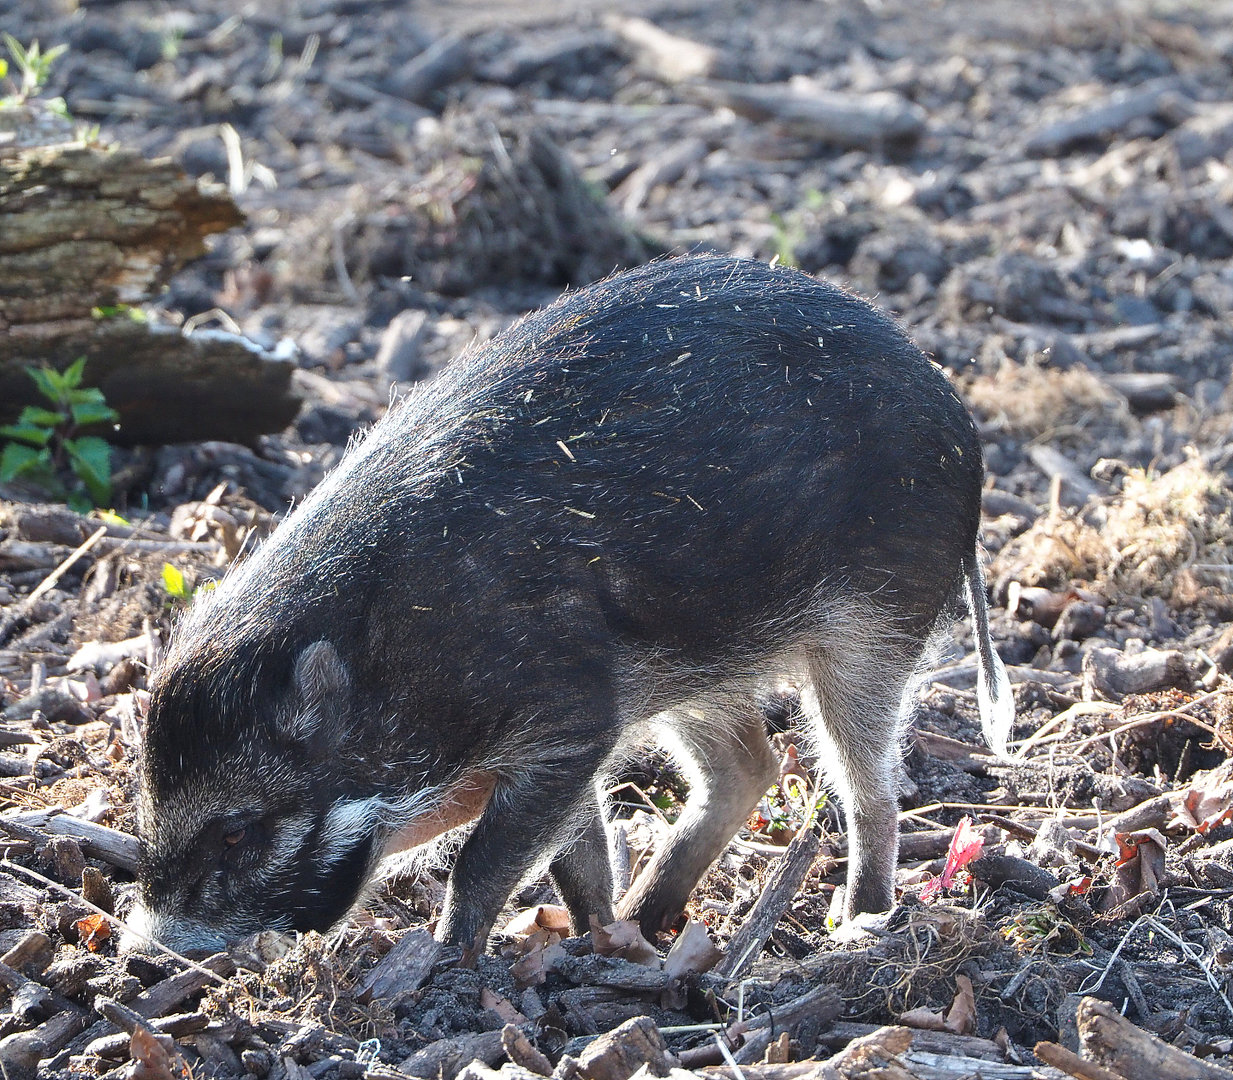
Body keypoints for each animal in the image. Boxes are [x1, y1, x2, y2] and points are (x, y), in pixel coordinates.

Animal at [130, 254, 1013, 956]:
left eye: (240, 827)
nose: (150, 946)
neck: (391, 666)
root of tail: (958, 417)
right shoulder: (575, 737)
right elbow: (574, 853)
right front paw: (591, 939)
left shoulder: (567, 718)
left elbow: (485, 864)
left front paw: (444, 959)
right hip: (697, 668)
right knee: (749, 766)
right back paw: (649, 922)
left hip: (875, 626)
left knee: (867, 786)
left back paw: (855, 923)